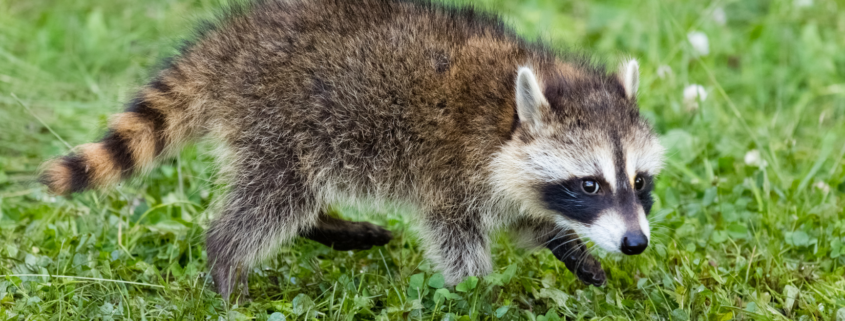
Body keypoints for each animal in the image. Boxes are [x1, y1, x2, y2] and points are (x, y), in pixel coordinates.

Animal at [41, 0, 664, 300]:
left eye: (639, 183)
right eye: (590, 184)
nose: (634, 244)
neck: (507, 113)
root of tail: (231, 41)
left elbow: (522, 216)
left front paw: (568, 246)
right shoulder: (453, 168)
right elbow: (458, 241)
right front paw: (479, 296)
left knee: (286, 195)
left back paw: (329, 227)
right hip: (283, 119)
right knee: (272, 200)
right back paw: (228, 266)